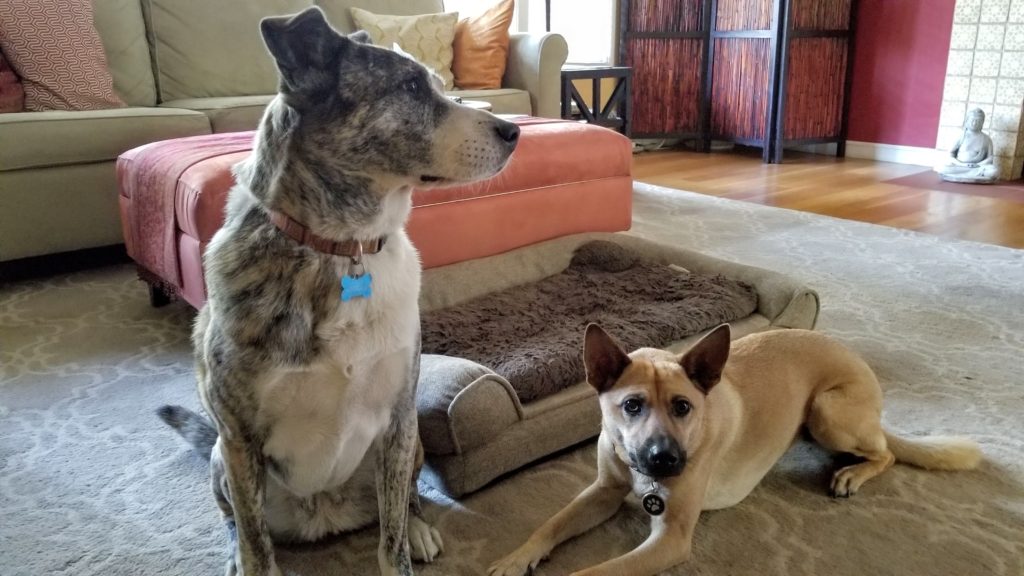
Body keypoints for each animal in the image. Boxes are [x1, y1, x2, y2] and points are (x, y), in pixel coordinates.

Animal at [158, 5, 520, 573]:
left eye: (440, 85)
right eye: (411, 86)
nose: (513, 131)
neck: (342, 249)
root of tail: (324, 514)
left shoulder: (397, 420)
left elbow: (391, 542)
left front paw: (406, 541)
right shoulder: (239, 440)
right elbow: (257, 546)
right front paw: (248, 556)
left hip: (413, 442)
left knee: (407, 499)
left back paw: (419, 526)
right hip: (221, 459)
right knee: (237, 521)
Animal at [489, 323, 983, 573]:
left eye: (683, 406)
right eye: (631, 406)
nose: (665, 460)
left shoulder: (670, 540)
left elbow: (593, 572)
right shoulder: (602, 491)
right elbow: (550, 524)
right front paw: (515, 558)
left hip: (828, 411)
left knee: (887, 453)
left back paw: (851, 473)